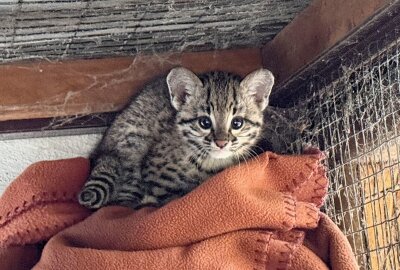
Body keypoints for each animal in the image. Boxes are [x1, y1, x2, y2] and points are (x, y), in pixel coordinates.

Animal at [79, 67, 276, 209]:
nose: (221, 143)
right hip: (133, 143)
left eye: (237, 123)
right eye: (204, 122)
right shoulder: (154, 173)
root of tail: (102, 150)